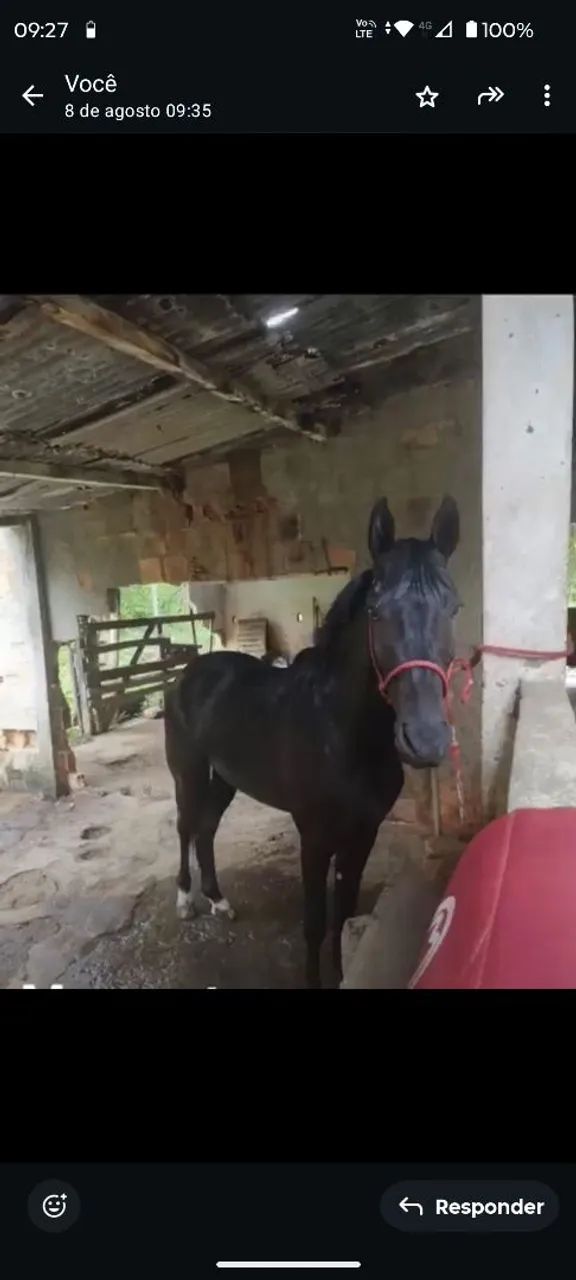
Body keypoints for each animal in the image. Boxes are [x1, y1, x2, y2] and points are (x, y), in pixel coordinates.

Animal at [164, 494, 461, 988]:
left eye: (453, 607)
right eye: (376, 611)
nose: (425, 740)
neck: (341, 732)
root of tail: (189, 674)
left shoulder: (362, 833)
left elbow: (343, 915)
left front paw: (341, 972)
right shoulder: (315, 837)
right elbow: (315, 922)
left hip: (224, 778)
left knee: (206, 828)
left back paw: (219, 901)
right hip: (187, 772)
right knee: (186, 826)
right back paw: (186, 901)